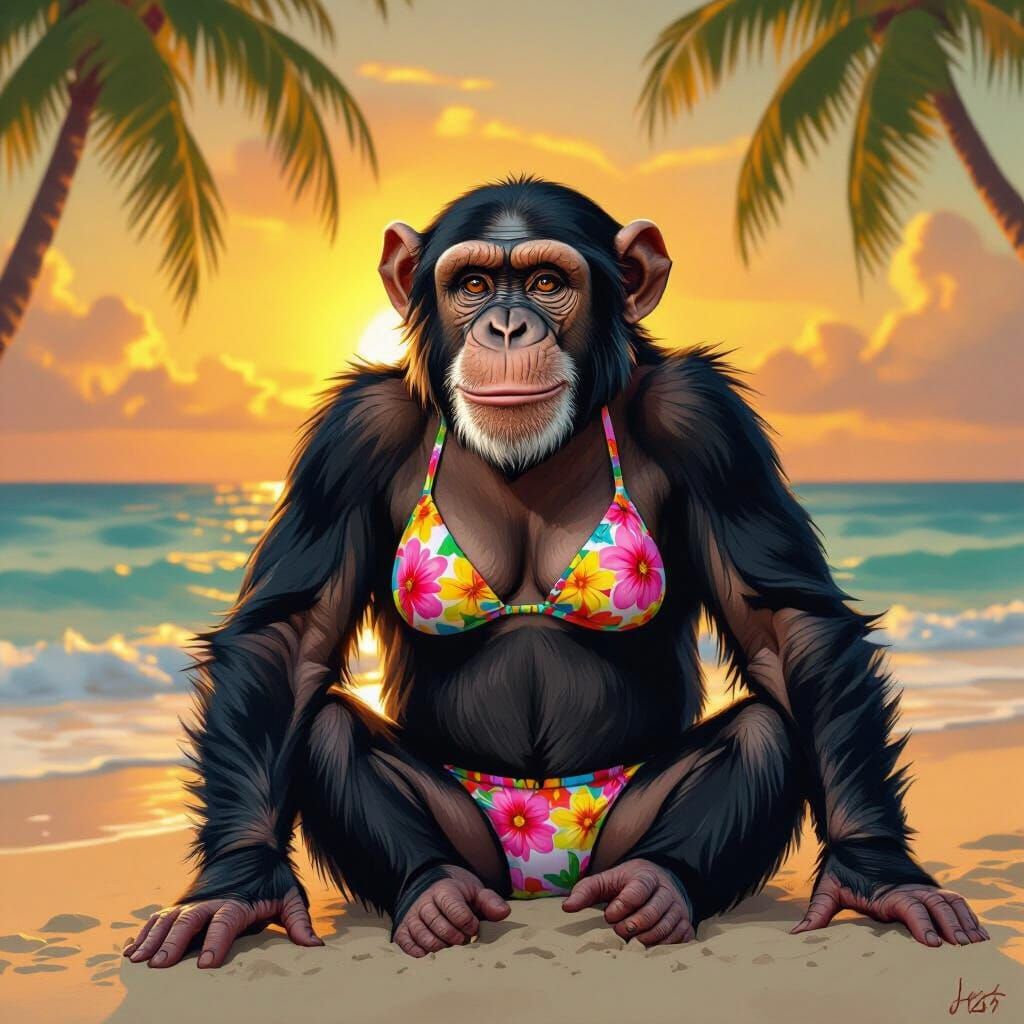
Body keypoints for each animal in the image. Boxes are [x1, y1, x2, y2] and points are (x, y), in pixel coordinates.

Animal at [124, 177, 988, 969]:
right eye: (472, 285)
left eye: (547, 282)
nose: (507, 326)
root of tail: (540, 881)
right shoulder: (354, 435)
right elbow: (292, 637)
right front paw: (237, 890)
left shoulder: (706, 420)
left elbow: (786, 627)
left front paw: (878, 874)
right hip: (479, 846)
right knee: (333, 728)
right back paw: (433, 891)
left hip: (612, 833)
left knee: (763, 731)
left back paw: (655, 885)